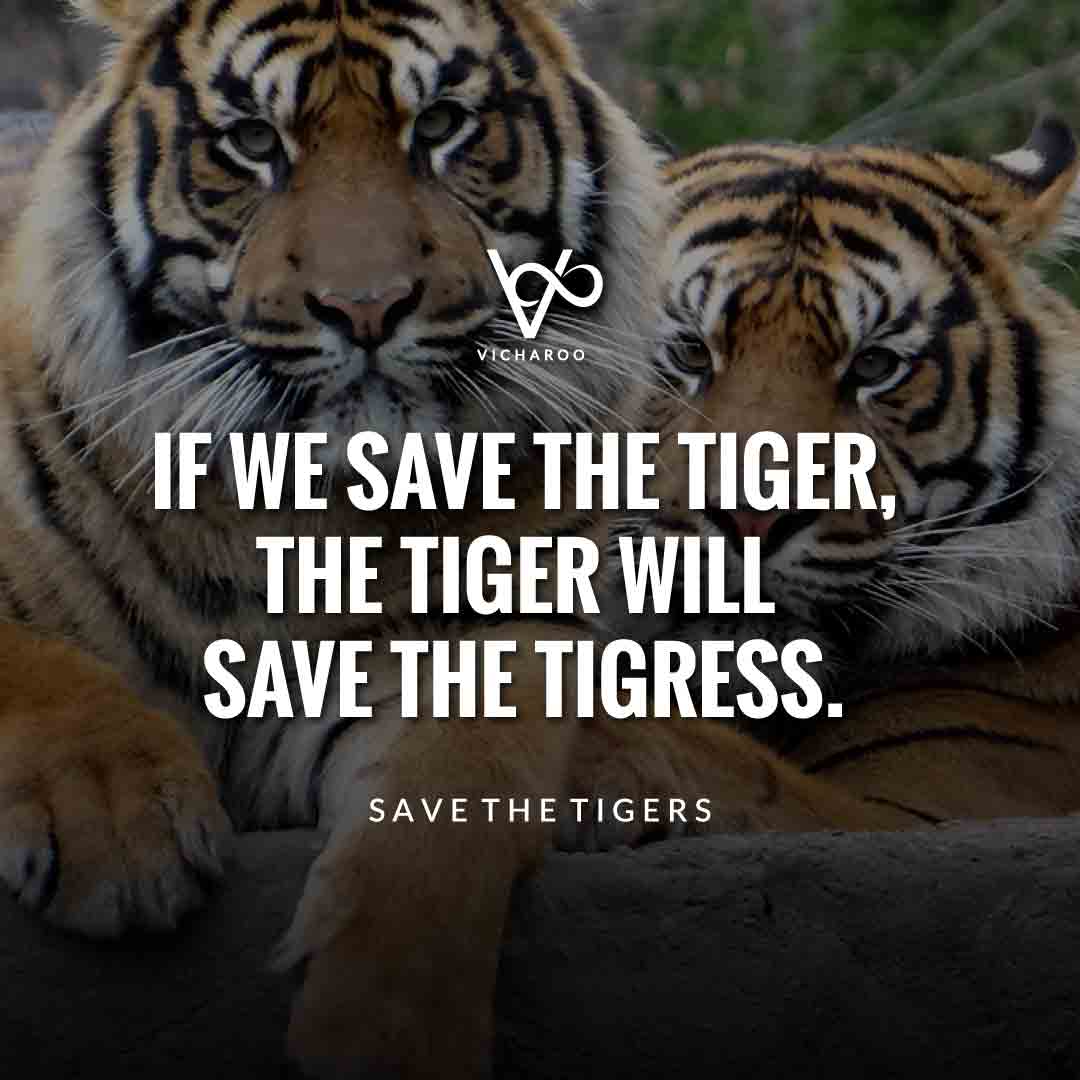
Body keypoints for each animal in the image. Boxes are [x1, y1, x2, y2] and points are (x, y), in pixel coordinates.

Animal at [0, 1, 674, 1075]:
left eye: (439, 125)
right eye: (253, 142)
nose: (365, 308)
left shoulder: (465, 654)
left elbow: (448, 805)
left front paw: (388, 1036)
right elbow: (31, 660)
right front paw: (114, 818)